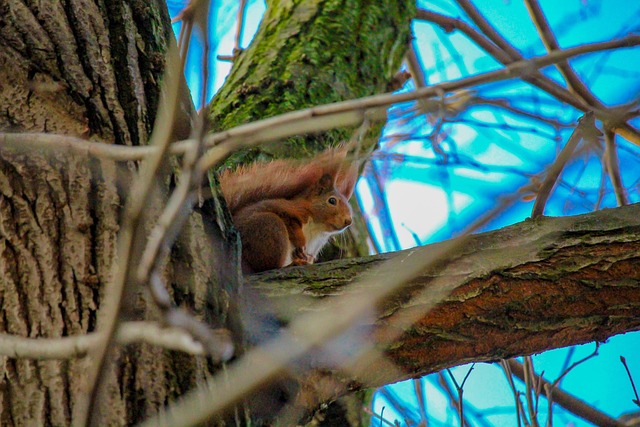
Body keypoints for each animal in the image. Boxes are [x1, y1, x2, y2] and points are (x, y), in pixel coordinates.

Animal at [219, 148, 360, 274]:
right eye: (332, 201)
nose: (348, 221)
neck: (317, 228)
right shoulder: (289, 210)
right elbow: (291, 223)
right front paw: (301, 243)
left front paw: (306, 258)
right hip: (269, 227)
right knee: (267, 267)